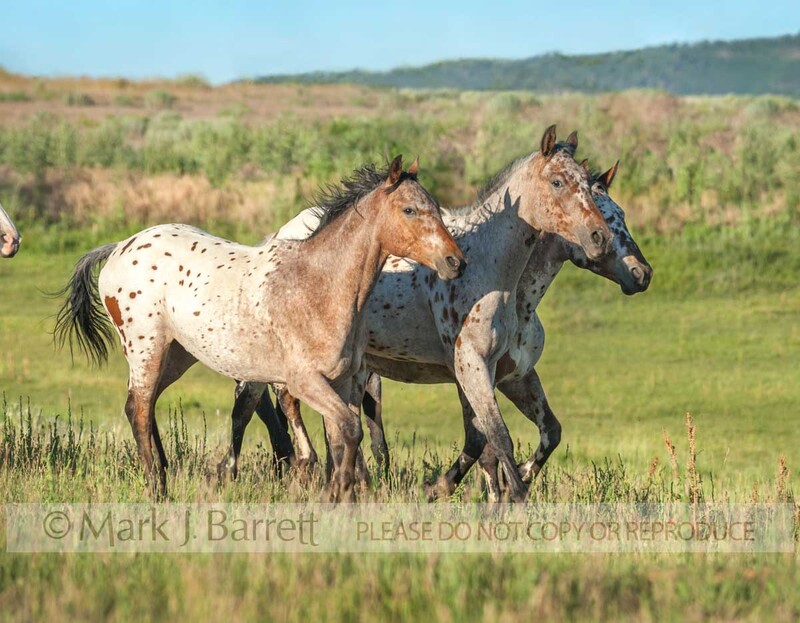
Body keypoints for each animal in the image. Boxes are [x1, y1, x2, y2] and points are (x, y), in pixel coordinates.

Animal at [54, 156, 466, 501]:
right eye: (409, 209)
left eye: (435, 207)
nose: (455, 262)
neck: (319, 284)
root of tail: (120, 246)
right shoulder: (304, 382)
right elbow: (348, 431)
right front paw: (334, 495)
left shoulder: (344, 382)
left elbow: (343, 439)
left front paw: (342, 496)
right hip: (146, 348)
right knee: (138, 409)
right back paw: (158, 489)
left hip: (177, 355)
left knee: (146, 403)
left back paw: (167, 472)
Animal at [221, 125, 615, 502]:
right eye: (558, 182)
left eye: (588, 185)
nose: (601, 238)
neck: (489, 270)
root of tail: (272, 239)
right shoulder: (471, 366)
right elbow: (497, 437)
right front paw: (509, 497)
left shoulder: (500, 372)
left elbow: (503, 436)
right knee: (252, 406)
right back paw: (254, 470)